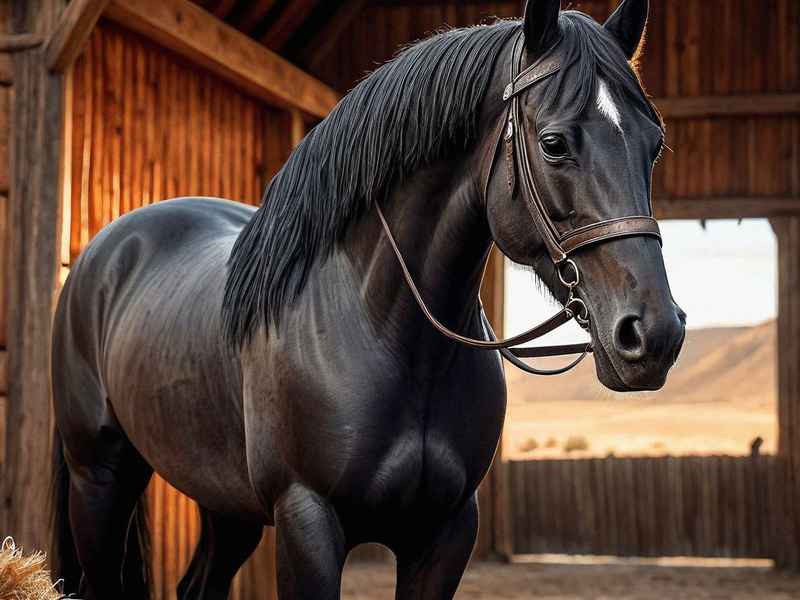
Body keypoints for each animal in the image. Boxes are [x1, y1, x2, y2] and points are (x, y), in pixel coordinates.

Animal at [50, 0, 685, 598]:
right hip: (100, 477)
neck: (384, 332)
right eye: (553, 143)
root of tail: (104, 251)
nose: (654, 333)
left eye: (654, 146)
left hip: (224, 502)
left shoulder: (446, 532)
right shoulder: (307, 521)